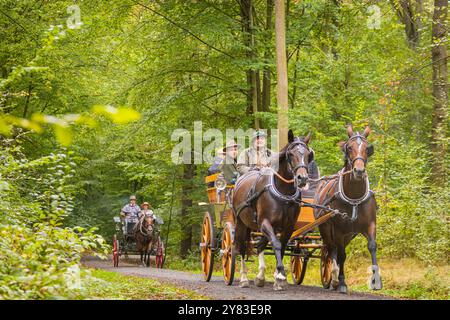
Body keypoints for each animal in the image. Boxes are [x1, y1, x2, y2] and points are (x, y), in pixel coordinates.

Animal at [232, 129, 312, 290]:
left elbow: (282, 246)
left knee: (260, 245)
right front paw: (280, 274)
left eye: (308, 154)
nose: (302, 179)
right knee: (241, 246)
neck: (284, 192)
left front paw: (278, 277)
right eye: (290, 154)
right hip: (241, 222)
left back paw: (260, 277)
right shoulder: (264, 223)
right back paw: (244, 279)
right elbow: (275, 244)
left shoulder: (288, 226)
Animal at [314, 124, 382, 292]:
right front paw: (342, 281)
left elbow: (372, 246)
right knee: (331, 249)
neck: (354, 198)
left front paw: (376, 280)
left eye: (366, 148)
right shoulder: (339, 229)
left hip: (350, 235)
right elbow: (342, 255)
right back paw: (333, 278)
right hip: (326, 228)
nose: (359, 171)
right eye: (349, 147)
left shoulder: (370, 224)